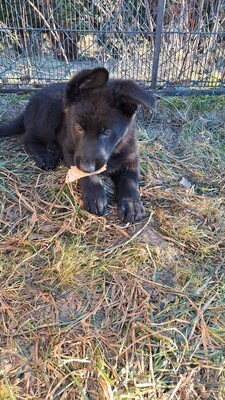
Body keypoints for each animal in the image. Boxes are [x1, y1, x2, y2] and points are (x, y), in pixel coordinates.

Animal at [0, 68, 156, 222]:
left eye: (107, 132)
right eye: (78, 127)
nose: (87, 167)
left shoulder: (130, 157)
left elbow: (130, 180)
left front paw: (131, 203)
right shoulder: (71, 151)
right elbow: (85, 175)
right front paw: (95, 194)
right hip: (48, 113)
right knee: (29, 137)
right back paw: (44, 156)